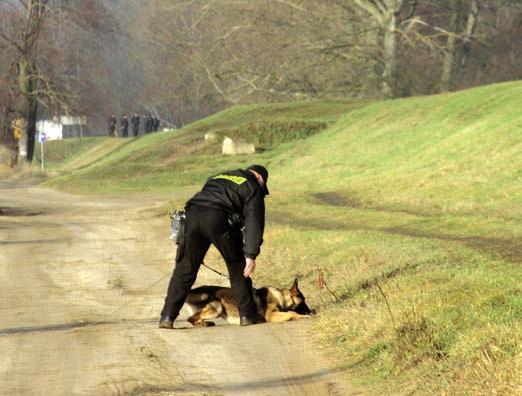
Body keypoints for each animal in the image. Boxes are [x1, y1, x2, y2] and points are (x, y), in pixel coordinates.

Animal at [184, 276, 312, 326]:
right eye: (304, 301)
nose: (312, 312)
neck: (281, 296)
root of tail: (194, 290)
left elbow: (291, 312)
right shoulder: (271, 315)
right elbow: (291, 313)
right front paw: (301, 316)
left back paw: (205, 323)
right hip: (217, 307)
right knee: (189, 318)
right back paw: (202, 324)